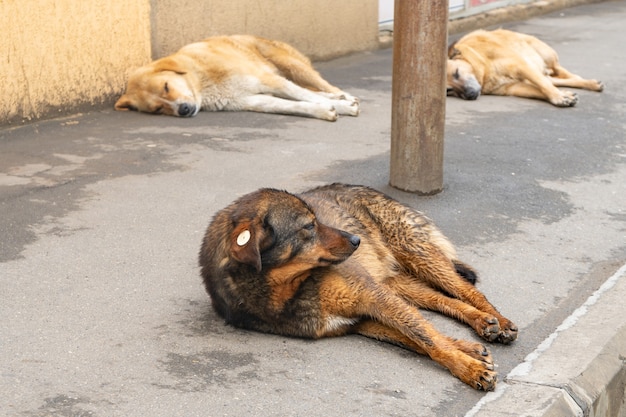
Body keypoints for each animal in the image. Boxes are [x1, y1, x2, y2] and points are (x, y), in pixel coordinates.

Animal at [114, 35, 358, 121]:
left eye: (166, 86)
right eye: (158, 109)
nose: (183, 110)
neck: (202, 80)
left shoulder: (268, 81)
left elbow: (305, 96)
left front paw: (340, 106)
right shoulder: (252, 100)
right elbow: (294, 105)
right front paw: (324, 111)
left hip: (292, 66)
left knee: (323, 87)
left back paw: (345, 97)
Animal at [200, 183, 516, 390]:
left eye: (317, 220)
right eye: (309, 227)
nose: (356, 240)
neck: (288, 288)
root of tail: (362, 187)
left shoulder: (373, 296)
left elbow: (426, 337)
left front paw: (469, 369)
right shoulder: (361, 319)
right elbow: (417, 337)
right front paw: (467, 352)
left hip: (415, 253)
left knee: (467, 289)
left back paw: (499, 321)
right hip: (395, 282)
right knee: (443, 300)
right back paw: (482, 322)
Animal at [444, 28, 600, 106]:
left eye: (457, 73)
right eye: (449, 90)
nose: (470, 95)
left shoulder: (521, 66)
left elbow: (543, 85)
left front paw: (558, 97)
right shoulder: (515, 87)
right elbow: (539, 90)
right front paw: (562, 95)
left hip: (547, 56)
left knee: (562, 72)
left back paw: (587, 82)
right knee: (554, 80)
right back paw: (589, 84)